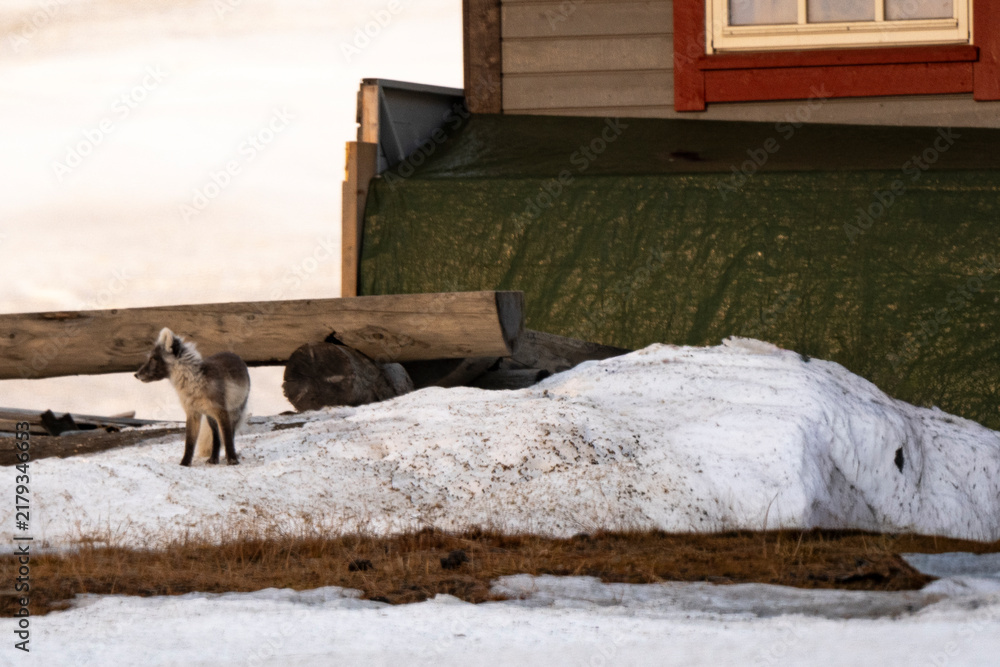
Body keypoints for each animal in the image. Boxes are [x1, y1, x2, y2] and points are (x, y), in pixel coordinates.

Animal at [135, 327, 250, 467]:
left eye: (153, 359)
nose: (136, 374)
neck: (195, 383)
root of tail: (233, 354)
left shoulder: (221, 412)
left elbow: (227, 438)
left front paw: (232, 460)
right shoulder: (192, 413)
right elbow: (189, 443)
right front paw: (184, 464)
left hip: (234, 413)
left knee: (230, 435)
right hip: (211, 418)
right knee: (216, 438)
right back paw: (213, 458)